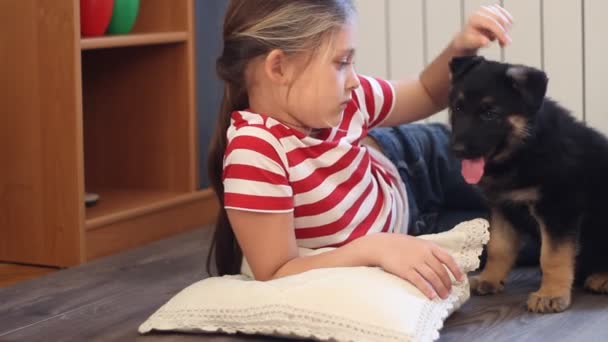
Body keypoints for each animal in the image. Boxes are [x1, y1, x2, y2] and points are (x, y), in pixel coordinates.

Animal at [446, 55, 608, 312]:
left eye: (490, 113)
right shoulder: (502, 208)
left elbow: (552, 256)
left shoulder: (558, 210)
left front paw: (551, 294)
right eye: (458, 108)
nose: (457, 151)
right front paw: (490, 279)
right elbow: (498, 248)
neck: (524, 147)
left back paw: (602, 278)